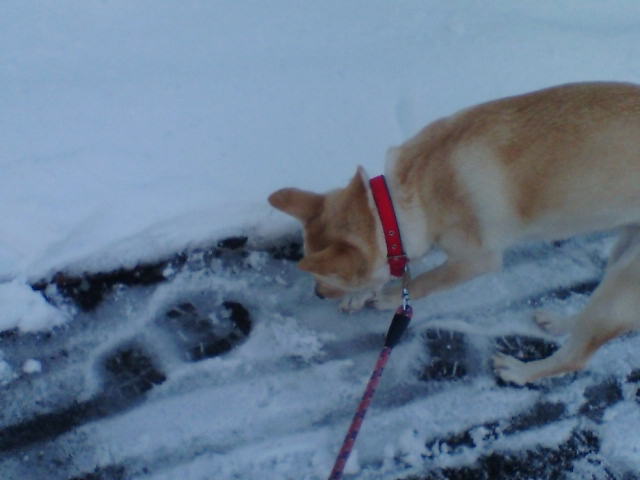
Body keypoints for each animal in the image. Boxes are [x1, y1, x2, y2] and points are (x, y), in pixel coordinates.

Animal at [268, 81, 640, 385]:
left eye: (326, 281)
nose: (317, 294)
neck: (398, 202)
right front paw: (362, 295)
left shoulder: (477, 260)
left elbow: (425, 281)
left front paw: (386, 297)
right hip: (622, 251)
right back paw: (559, 322)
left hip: (622, 286)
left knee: (577, 356)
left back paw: (520, 371)